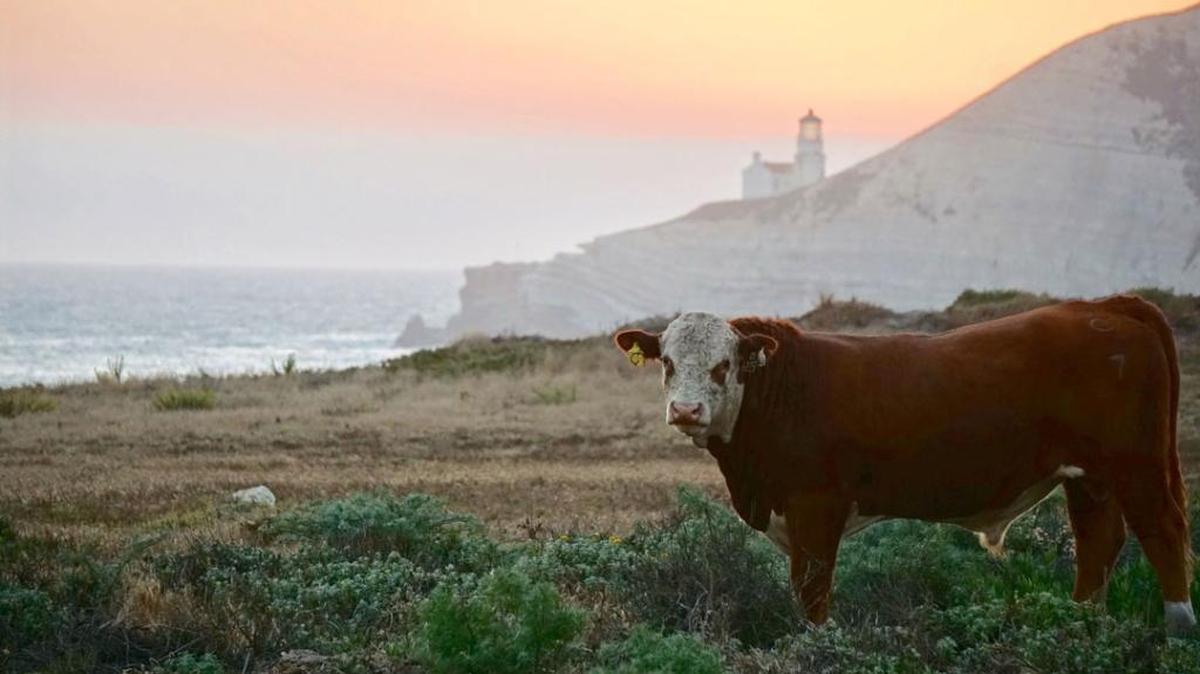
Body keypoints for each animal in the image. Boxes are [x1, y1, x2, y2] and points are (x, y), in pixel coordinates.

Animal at [614, 295, 1196, 634]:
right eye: (668, 362)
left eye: (722, 364)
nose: (685, 410)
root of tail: (1105, 306)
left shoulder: (816, 507)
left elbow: (811, 594)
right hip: (1089, 475)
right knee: (1098, 541)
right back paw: (1080, 624)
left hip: (1137, 464)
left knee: (1163, 532)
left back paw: (1177, 631)